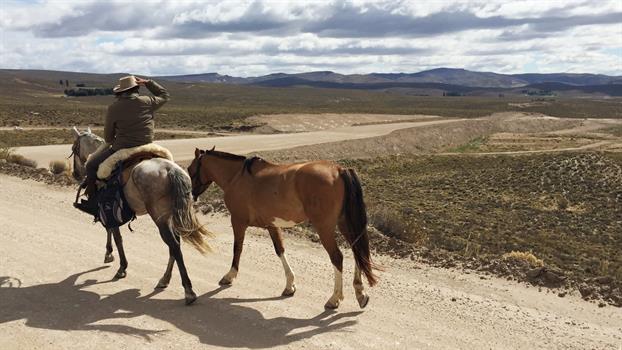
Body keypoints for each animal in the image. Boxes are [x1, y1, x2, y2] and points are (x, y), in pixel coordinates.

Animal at [72, 126, 213, 304]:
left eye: (74, 149)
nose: (75, 174)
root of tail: (170, 170)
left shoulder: (108, 211)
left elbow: (116, 236)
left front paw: (118, 264)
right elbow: (112, 232)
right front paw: (111, 256)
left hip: (160, 219)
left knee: (173, 245)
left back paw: (188, 290)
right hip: (170, 216)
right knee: (175, 245)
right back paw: (165, 279)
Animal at [188, 148, 378, 308]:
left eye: (190, 170)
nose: (191, 195)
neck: (237, 177)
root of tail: (339, 170)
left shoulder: (238, 221)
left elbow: (237, 248)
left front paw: (229, 276)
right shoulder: (272, 225)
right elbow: (280, 250)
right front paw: (290, 285)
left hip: (325, 227)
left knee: (337, 257)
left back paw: (334, 298)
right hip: (345, 223)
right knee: (357, 252)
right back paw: (360, 294)